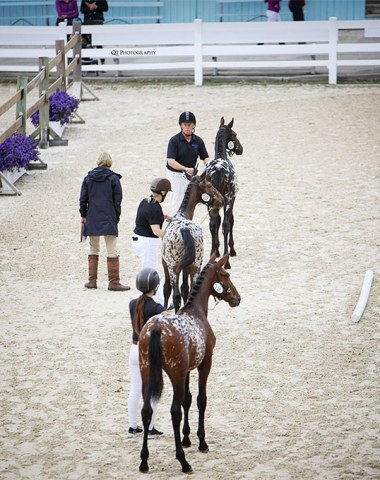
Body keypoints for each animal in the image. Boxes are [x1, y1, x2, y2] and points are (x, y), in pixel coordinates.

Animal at [138, 253, 242, 474]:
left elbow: (188, 399)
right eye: (227, 275)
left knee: (146, 411)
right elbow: (201, 400)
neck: (196, 311)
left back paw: (144, 461)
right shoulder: (204, 364)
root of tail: (157, 327)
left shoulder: (186, 370)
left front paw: (186, 439)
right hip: (175, 375)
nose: (237, 298)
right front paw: (201, 442)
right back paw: (183, 462)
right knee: (174, 412)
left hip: (147, 374)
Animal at [162, 174, 224, 314]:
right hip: (195, 266)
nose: (222, 200)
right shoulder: (186, 267)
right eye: (210, 185)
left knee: (176, 295)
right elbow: (185, 289)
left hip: (174, 268)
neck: (182, 215)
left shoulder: (165, 264)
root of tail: (184, 229)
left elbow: (168, 289)